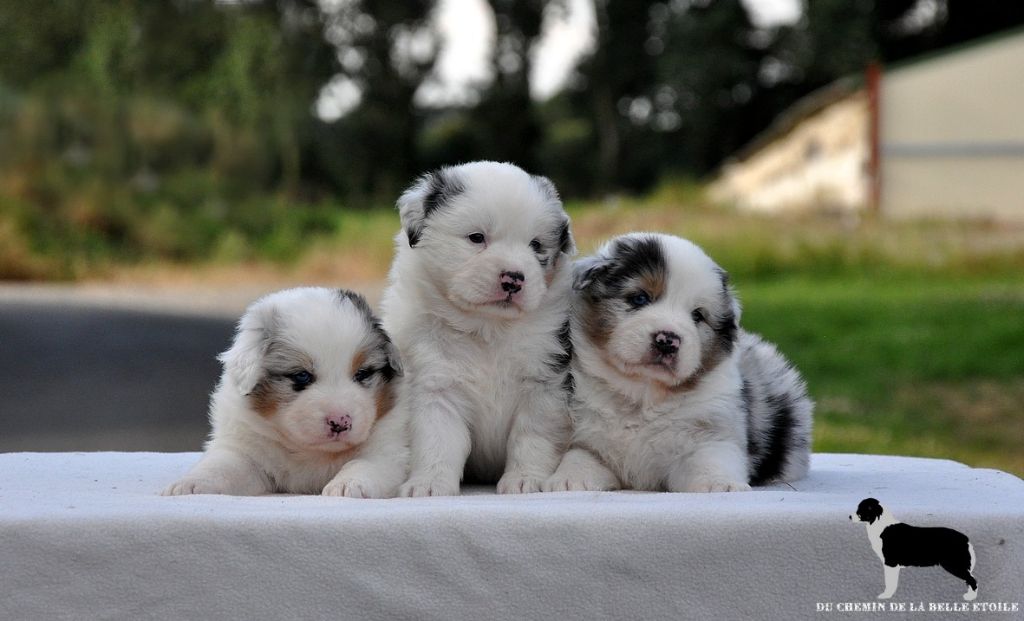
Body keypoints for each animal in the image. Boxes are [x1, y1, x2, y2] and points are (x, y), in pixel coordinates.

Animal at [161, 288, 405, 502]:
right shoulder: (243, 448)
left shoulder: (387, 449)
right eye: (302, 376)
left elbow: (364, 463)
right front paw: (189, 485)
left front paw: (348, 485)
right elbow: (220, 466)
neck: (308, 450)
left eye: (362, 373)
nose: (340, 422)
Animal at [382, 162, 577, 498]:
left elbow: (531, 437)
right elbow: (437, 441)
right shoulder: (435, 387)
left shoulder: (544, 385)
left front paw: (525, 480)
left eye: (536, 245)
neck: (487, 328)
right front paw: (429, 484)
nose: (513, 279)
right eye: (476, 237)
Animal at [548, 233, 811, 495]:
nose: (667, 341)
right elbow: (580, 456)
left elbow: (711, 460)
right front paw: (570, 480)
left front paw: (721, 485)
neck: (643, 396)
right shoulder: (587, 439)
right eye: (640, 298)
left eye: (697, 315)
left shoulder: (713, 436)